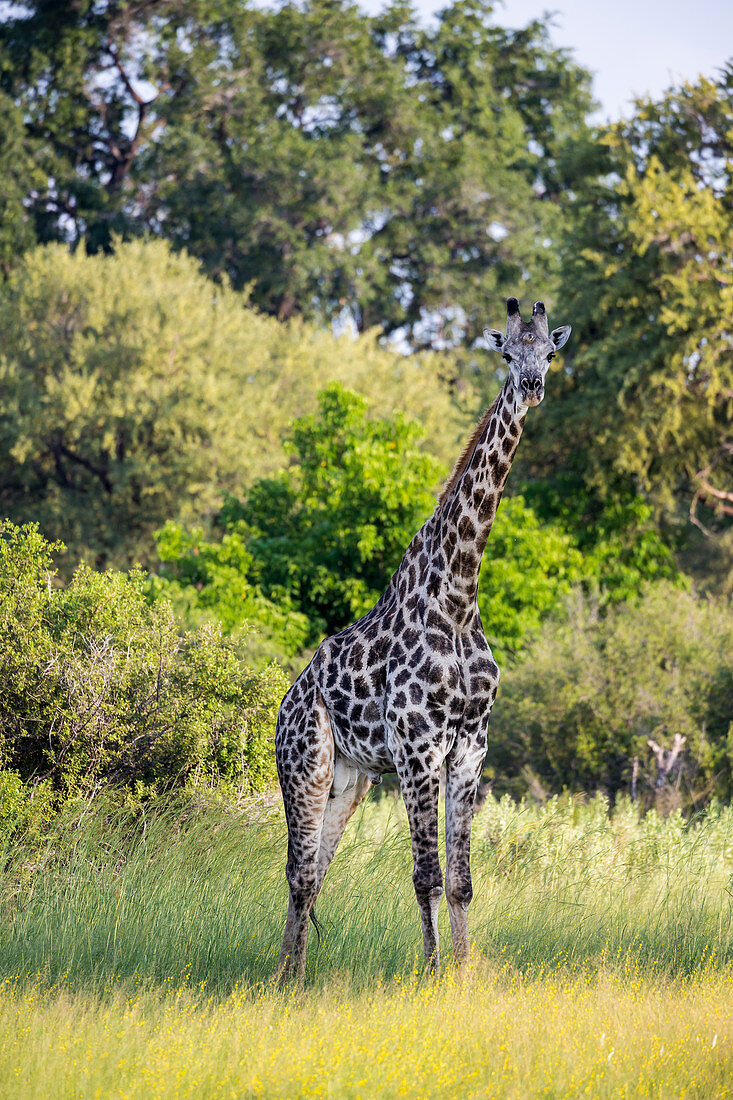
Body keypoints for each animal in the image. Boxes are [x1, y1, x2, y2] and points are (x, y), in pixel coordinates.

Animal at [274, 294, 572, 981]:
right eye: (506, 354)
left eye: (550, 352)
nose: (532, 387)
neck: (459, 598)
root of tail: (281, 710)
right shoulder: (418, 746)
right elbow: (426, 876)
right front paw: (434, 975)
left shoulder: (470, 746)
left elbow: (461, 881)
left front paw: (462, 974)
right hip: (305, 768)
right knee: (298, 875)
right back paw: (285, 982)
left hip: (351, 781)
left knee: (314, 875)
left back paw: (291, 976)